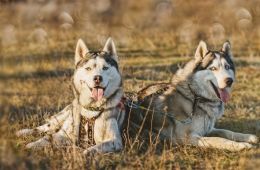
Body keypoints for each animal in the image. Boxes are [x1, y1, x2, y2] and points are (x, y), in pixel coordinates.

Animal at [130, 41, 258, 151]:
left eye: (227, 67)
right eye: (213, 68)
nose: (229, 81)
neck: (195, 96)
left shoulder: (209, 129)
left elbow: (226, 132)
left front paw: (248, 137)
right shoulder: (186, 137)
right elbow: (218, 139)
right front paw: (240, 145)